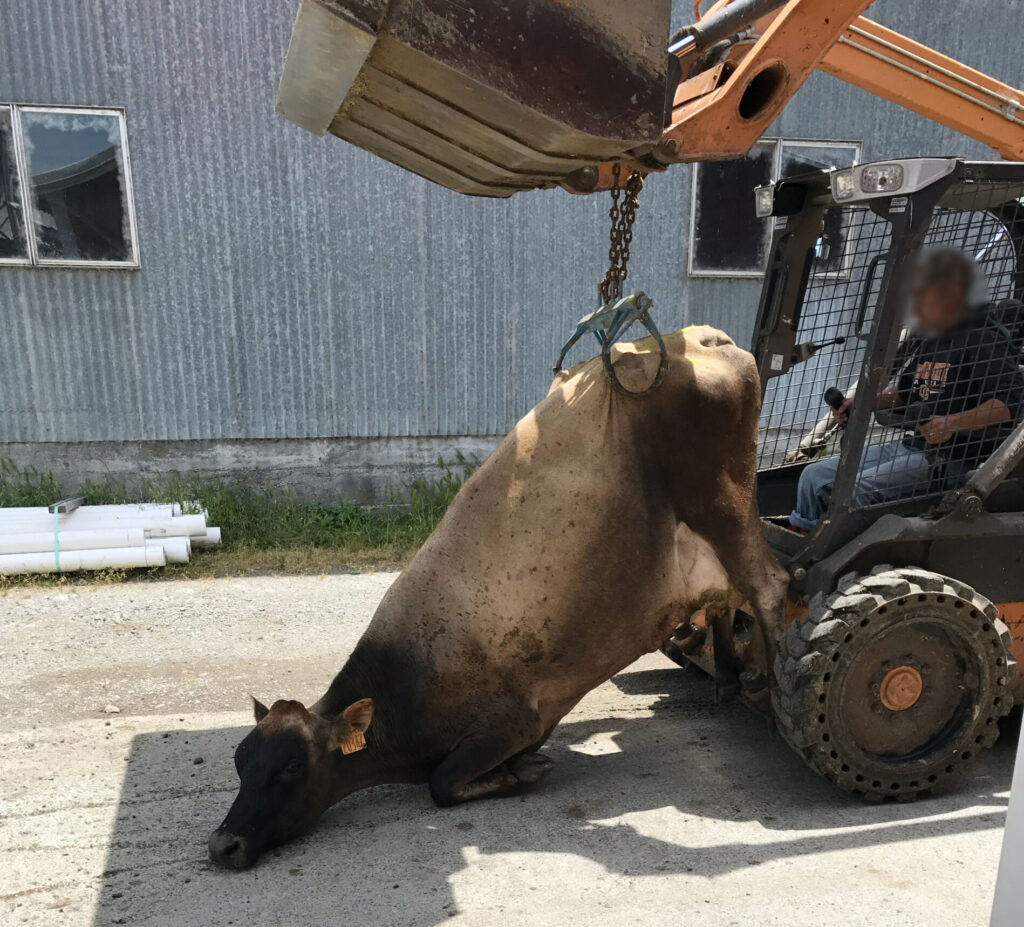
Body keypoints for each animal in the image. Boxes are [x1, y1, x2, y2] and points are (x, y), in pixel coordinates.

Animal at [205, 325, 782, 868]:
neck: (403, 690)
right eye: (239, 760)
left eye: (291, 767)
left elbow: (440, 785)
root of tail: (699, 338)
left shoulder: (510, 722)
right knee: (729, 596)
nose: (223, 845)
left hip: (725, 508)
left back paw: (771, 690)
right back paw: (728, 677)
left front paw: (520, 774)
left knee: (771, 590)